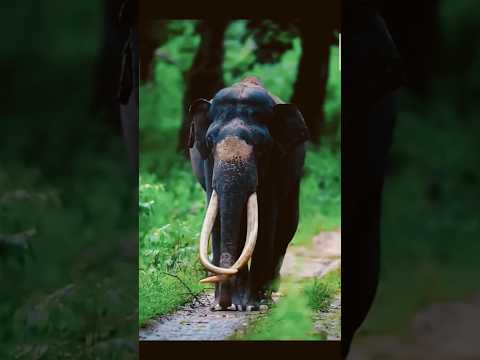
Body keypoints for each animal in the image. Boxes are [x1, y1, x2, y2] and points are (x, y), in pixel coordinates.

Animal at [186, 76, 310, 310]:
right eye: (209, 141)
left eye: (262, 146)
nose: (223, 303)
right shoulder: (208, 164)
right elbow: (217, 220)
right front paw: (224, 305)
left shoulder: (277, 163)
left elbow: (266, 221)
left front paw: (253, 305)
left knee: (287, 226)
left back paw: (267, 295)